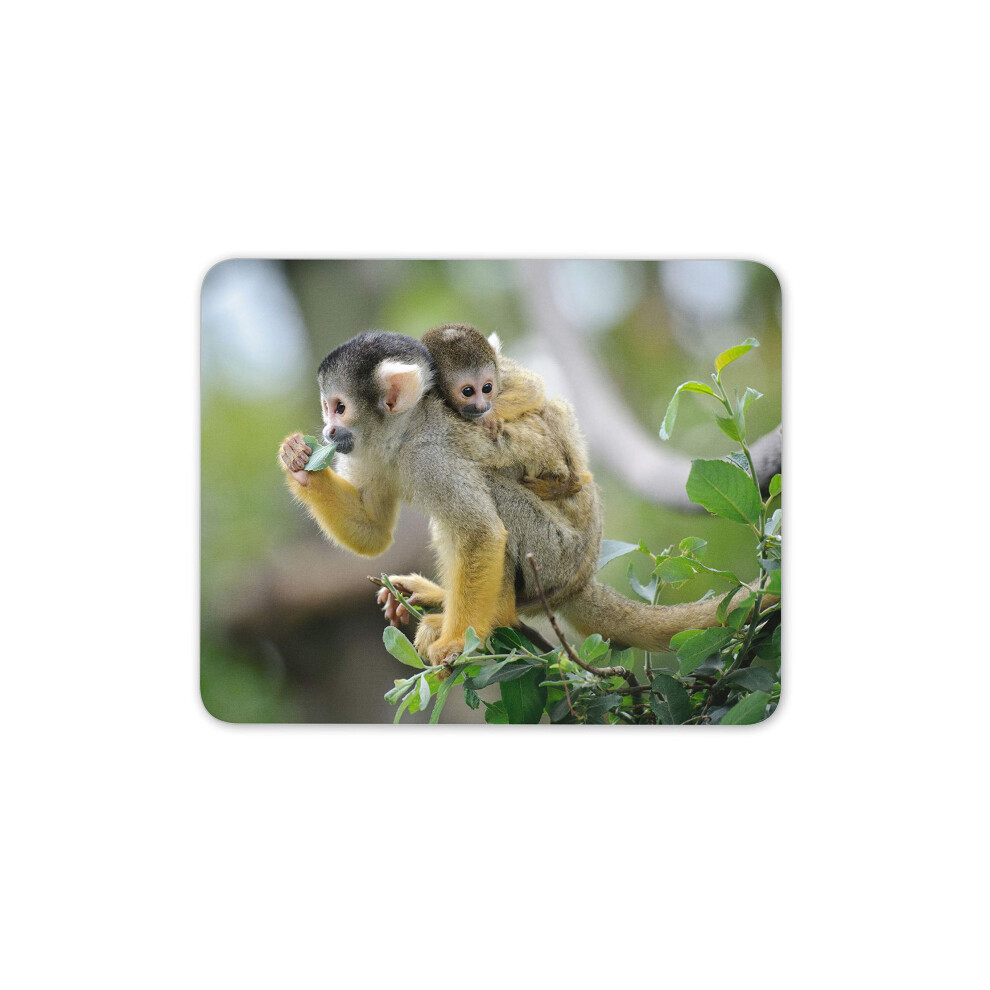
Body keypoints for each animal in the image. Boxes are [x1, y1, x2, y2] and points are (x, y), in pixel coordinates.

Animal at [420, 323, 592, 500]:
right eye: (468, 392)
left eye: (487, 388)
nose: (482, 407)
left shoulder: (502, 372)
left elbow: (531, 387)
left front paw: (489, 418)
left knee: (554, 408)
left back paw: (569, 484)